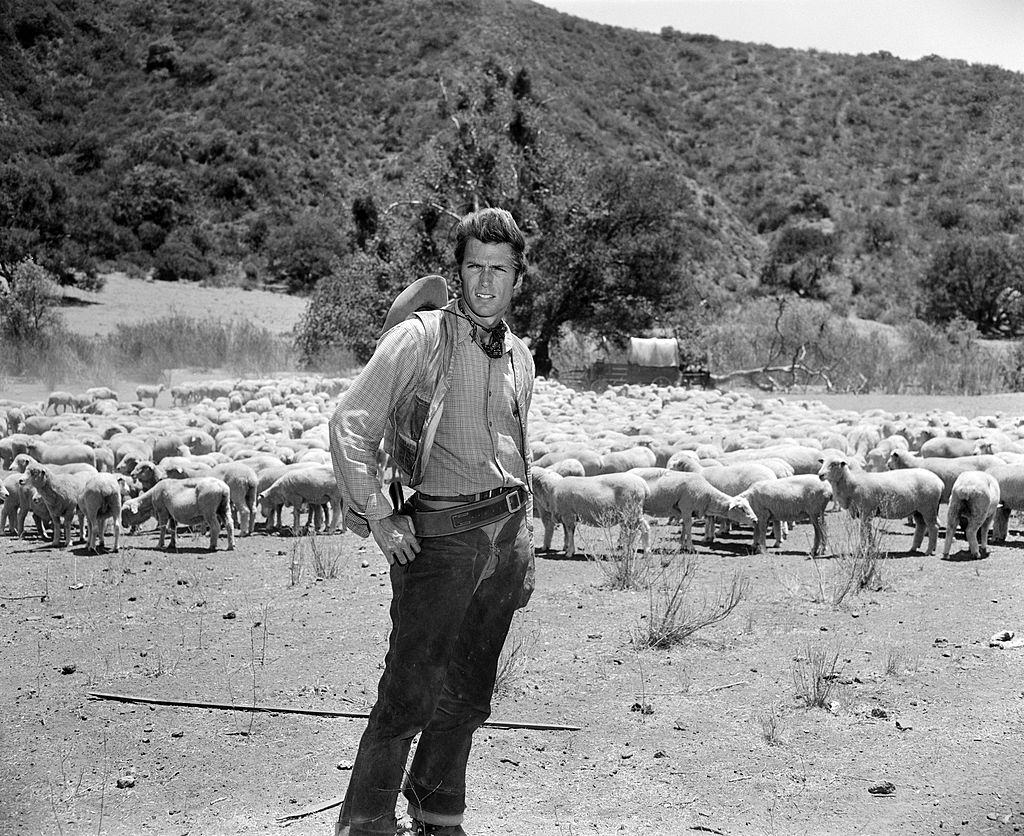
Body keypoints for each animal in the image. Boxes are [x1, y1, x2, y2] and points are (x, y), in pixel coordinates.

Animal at [626, 467, 757, 553]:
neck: (707, 495)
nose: (755, 520)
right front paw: (690, 547)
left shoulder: (686, 511)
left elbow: (684, 526)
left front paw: (682, 545)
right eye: (742, 509)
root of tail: (628, 472)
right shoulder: (686, 507)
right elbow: (689, 526)